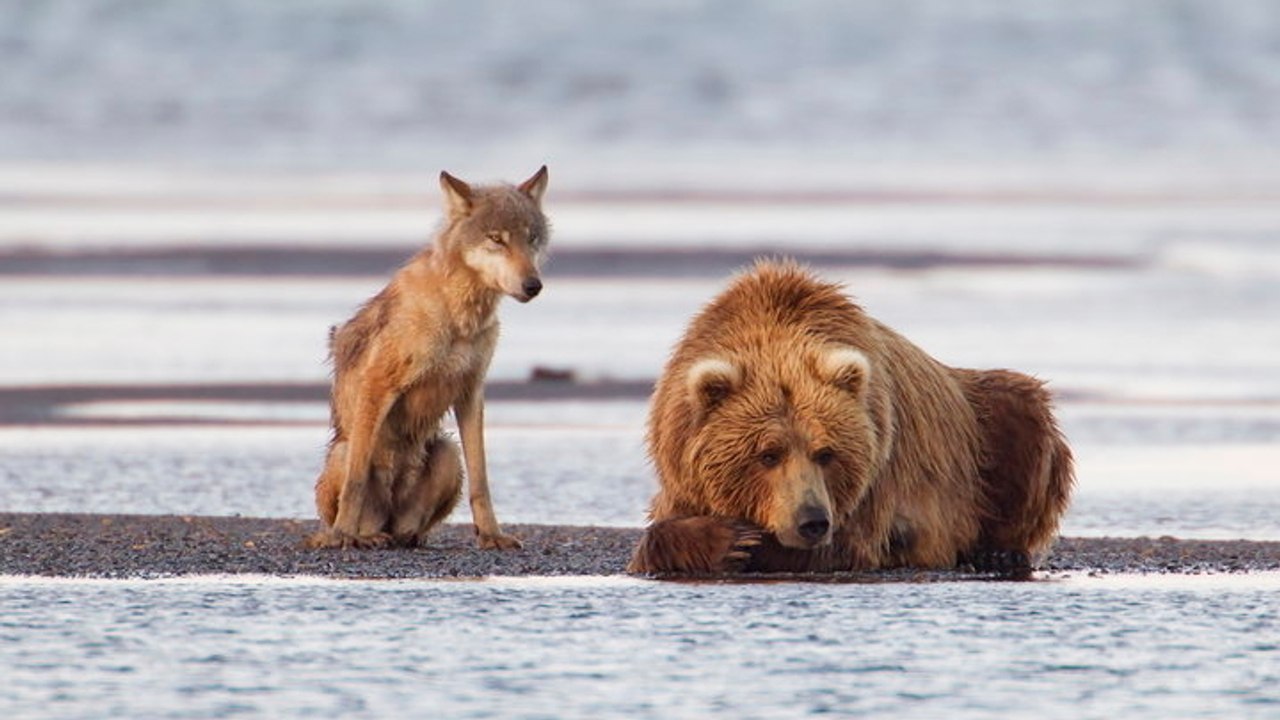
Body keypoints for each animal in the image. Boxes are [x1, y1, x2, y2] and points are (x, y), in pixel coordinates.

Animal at [307, 166, 550, 550]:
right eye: (497, 239)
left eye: (532, 239)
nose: (533, 285)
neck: (459, 316)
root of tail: (389, 522)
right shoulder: (378, 384)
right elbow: (356, 482)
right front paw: (341, 535)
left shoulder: (471, 392)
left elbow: (482, 481)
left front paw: (491, 535)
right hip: (343, 451)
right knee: (359, 492)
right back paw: (361, 536)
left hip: (448, 452)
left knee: (410, 531)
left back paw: (406, 536)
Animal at [627, 260, 1074, 575]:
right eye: (767, 454)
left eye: (826, 453)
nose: (812, 521)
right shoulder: (681, 464)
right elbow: (656, 534)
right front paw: (727, 538)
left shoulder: (875, 482)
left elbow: (841, 547)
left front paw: (747, 542)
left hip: (984, 429)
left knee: (1022, 412)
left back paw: (998, 552)